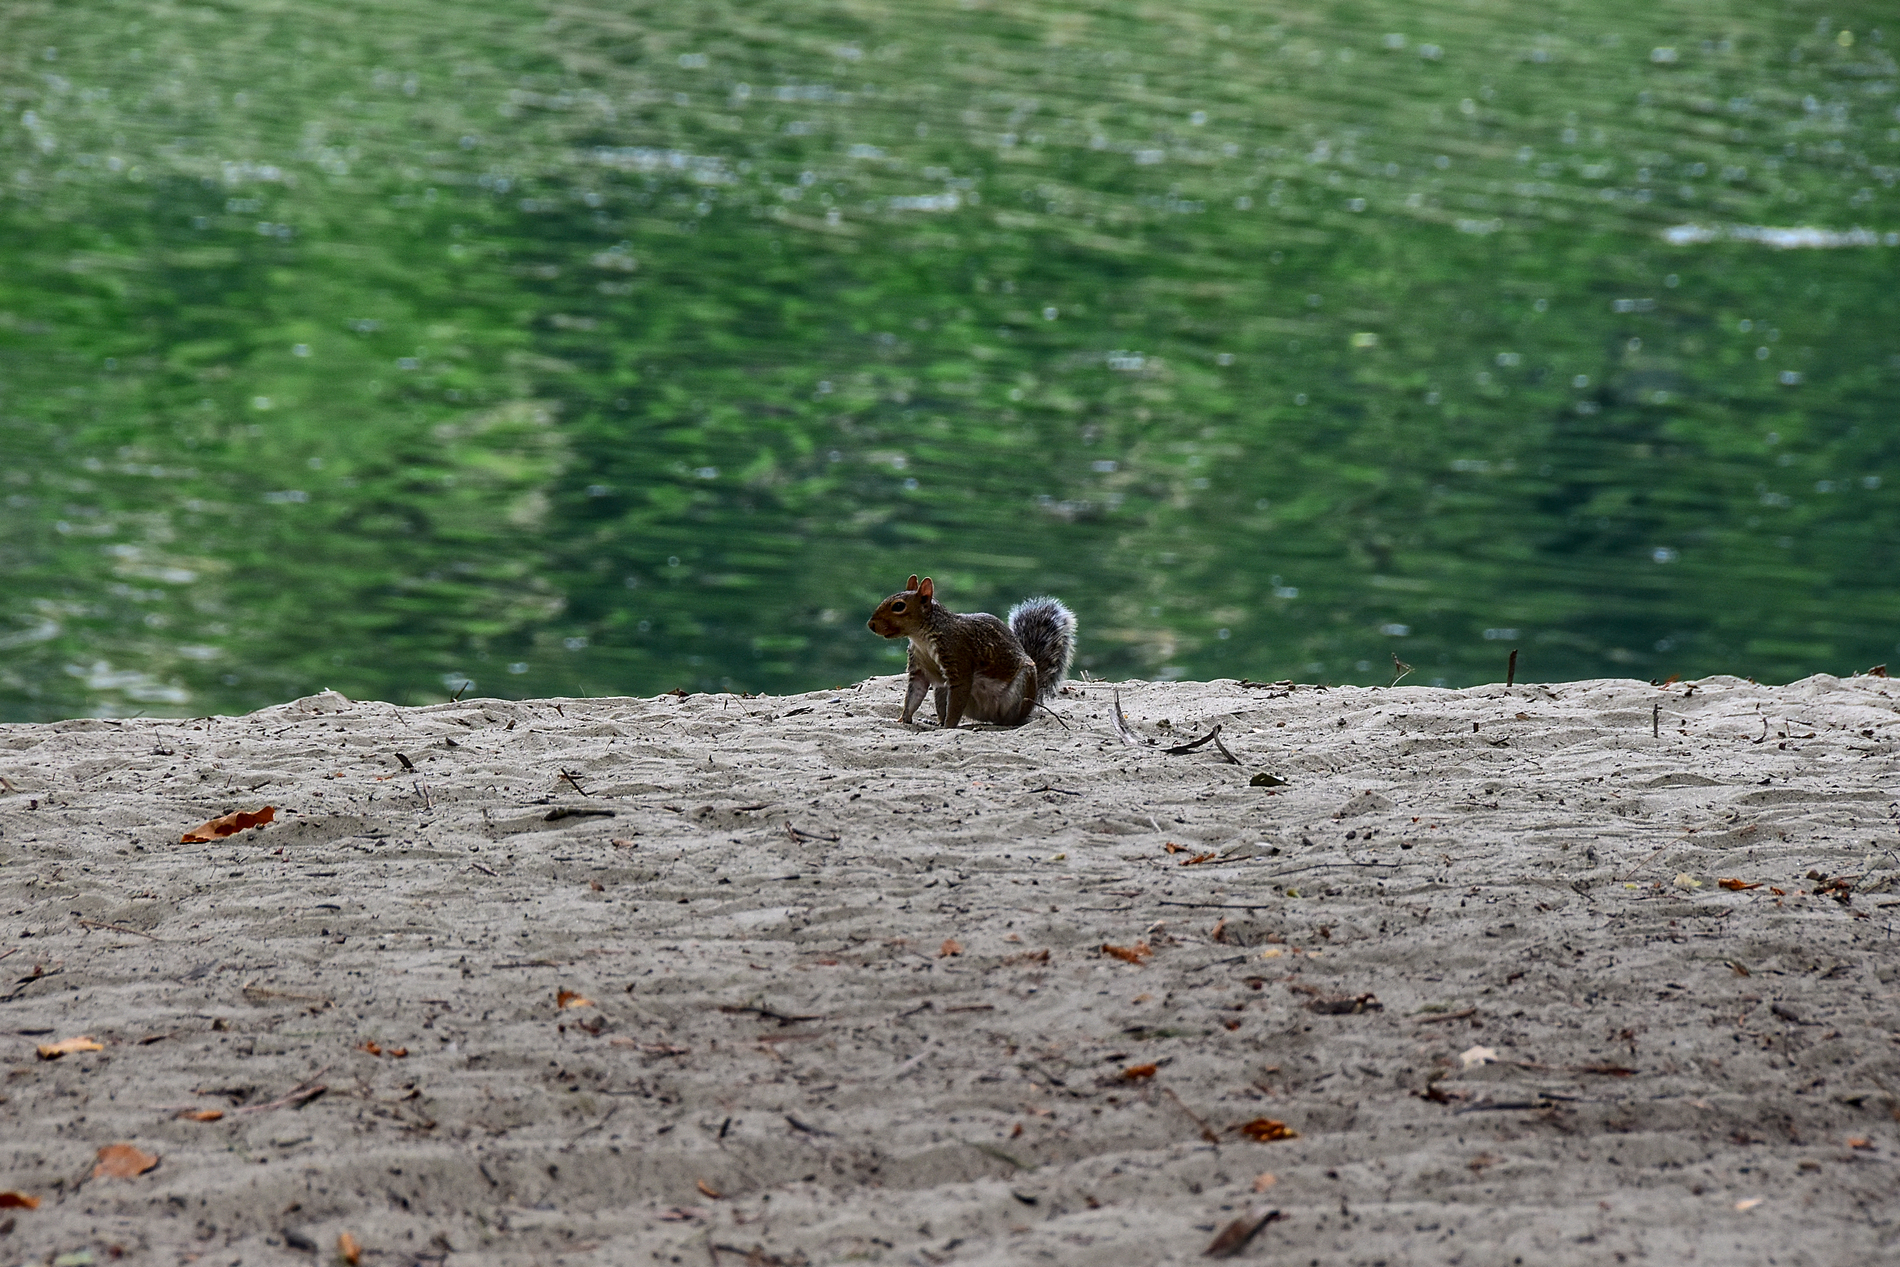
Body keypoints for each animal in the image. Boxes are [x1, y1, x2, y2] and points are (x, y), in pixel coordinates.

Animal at [866, 574, 1076, 728]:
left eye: (899, 606)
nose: (871, 625)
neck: (921, 639)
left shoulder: (958, 657)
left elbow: (956, 702)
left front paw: (949, 726)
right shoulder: (918, 668)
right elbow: (913, 696)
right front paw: (904, 719)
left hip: (1021, 688)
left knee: (1011, 717)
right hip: (941, 690)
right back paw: (936, 722)